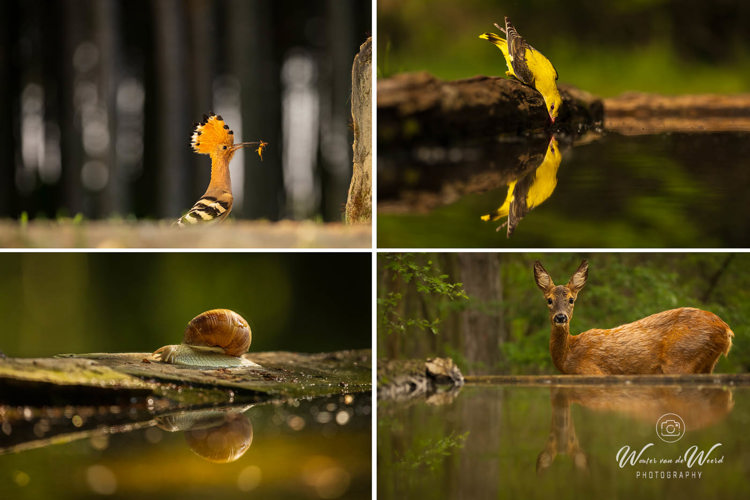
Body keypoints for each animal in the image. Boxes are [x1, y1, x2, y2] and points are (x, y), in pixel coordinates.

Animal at [536, 262, 736, 376]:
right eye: (549, 300)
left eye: (571, 299)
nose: (560, 317)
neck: (568, 356)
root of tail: (725, 329)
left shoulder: (592, 371)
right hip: (706, 363)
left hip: (682, 357)